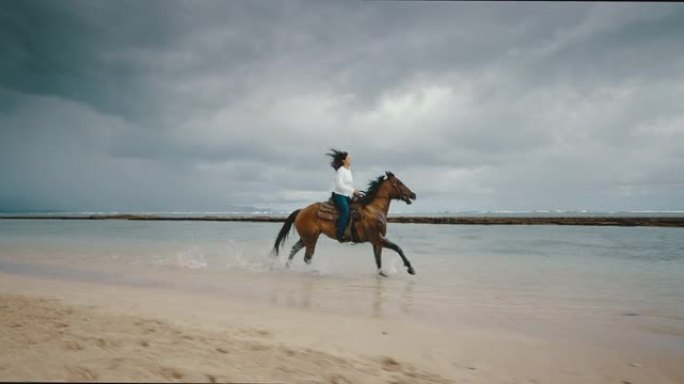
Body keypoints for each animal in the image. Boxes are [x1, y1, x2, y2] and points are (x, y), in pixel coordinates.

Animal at [272, 171, 416, 276]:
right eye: (399, 182)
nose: (413, 195)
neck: (373, 209)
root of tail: (301, 211)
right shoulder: (377, 238)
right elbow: (397, 248)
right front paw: (410, 268)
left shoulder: (376, 241)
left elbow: (378, 260)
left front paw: (381, 274)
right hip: (311, 239)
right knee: (307, 257)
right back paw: (313, 271)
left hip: (306, 238)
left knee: (294, 250)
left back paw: (288, 268)